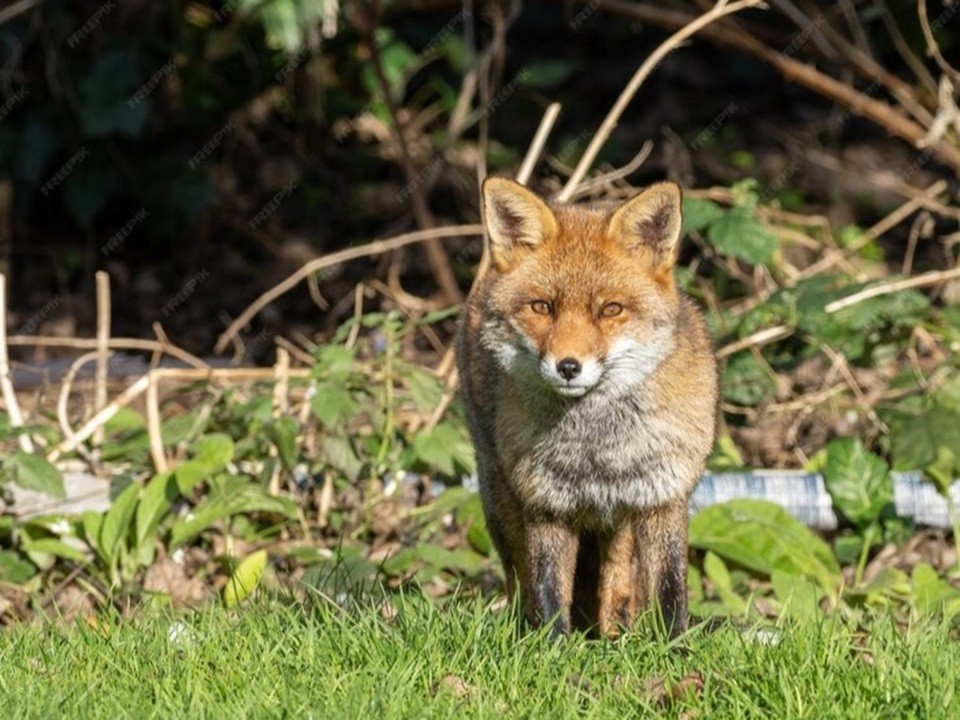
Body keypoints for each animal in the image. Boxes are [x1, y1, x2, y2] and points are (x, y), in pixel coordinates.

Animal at [454, 177, 716, 640]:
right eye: (542, 307)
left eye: (610, 309)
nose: (568, 366)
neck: (598, 448)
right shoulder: (543, 501)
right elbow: (548, 588)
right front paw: (551, 647)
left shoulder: (663, 496)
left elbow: (670, 589)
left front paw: (674, 647)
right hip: (499, 498)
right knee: (519, 576)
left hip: (621, 520)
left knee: (618, 578)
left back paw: (615, 634)